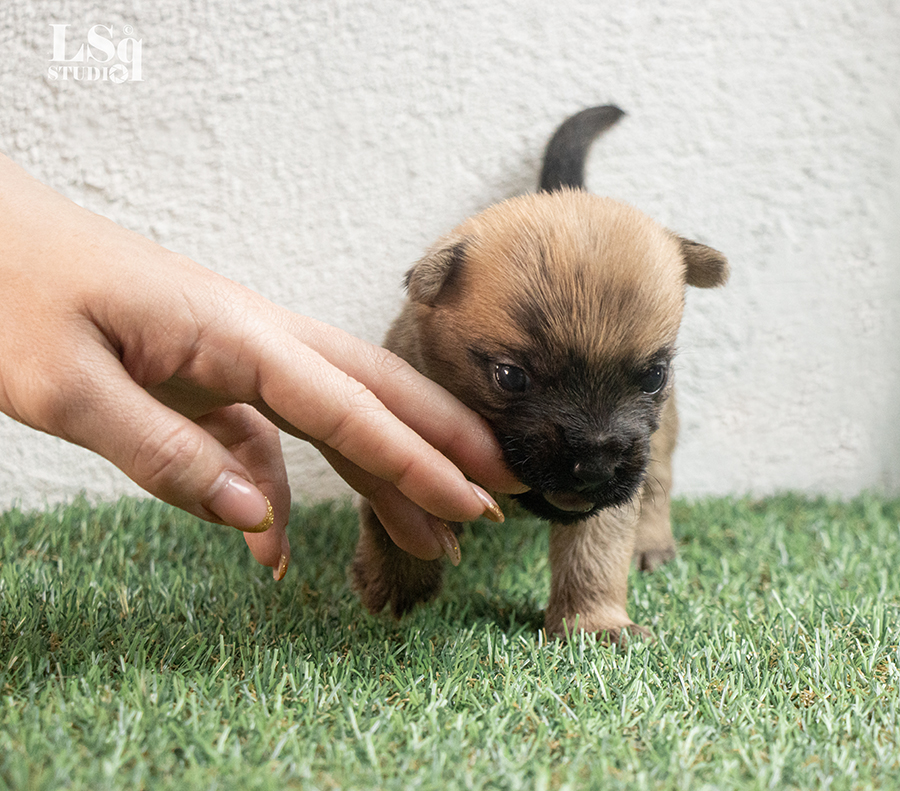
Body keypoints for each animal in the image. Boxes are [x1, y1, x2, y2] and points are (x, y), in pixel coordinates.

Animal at [348, 105, 728, 640]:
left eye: (654, 376)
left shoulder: (610, 495)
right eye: (510, 377)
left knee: (657, 484)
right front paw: (397, 579)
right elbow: (397, 511)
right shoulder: (398, 435)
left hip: (662, 439)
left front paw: (592, 622)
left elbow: (594, 550)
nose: (595, 468)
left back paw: (652, 542)